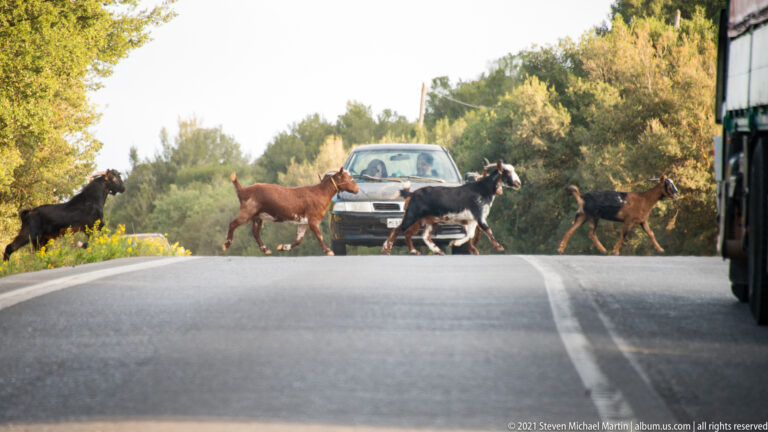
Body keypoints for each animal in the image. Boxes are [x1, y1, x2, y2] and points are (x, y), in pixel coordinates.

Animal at [222, 167, 359, 256]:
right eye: (347, 177)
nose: (357, 188)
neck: (320, 193)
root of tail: (243, 190)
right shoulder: (313, 220)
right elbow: (319, 235)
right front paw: (328, 251)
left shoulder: (303, 222)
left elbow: (298, 240)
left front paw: (282, 247)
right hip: (247, 211)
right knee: (232, 224)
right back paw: (226, 245)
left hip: (258, 216)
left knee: (255, 232)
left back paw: (266, 249)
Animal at [381, 160, 521, 255]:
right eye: (507, 172)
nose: (518, 183)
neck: (483, 189)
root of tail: (412, 193)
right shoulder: (479, 216)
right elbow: (488, 230)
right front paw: (499, 247)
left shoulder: (472, 220)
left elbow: (470, 234)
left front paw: (455, 242)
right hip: (412, 216)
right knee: (397, 230)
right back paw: (386, 249)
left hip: (425, 220)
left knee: (419, 235)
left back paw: (425, 251)